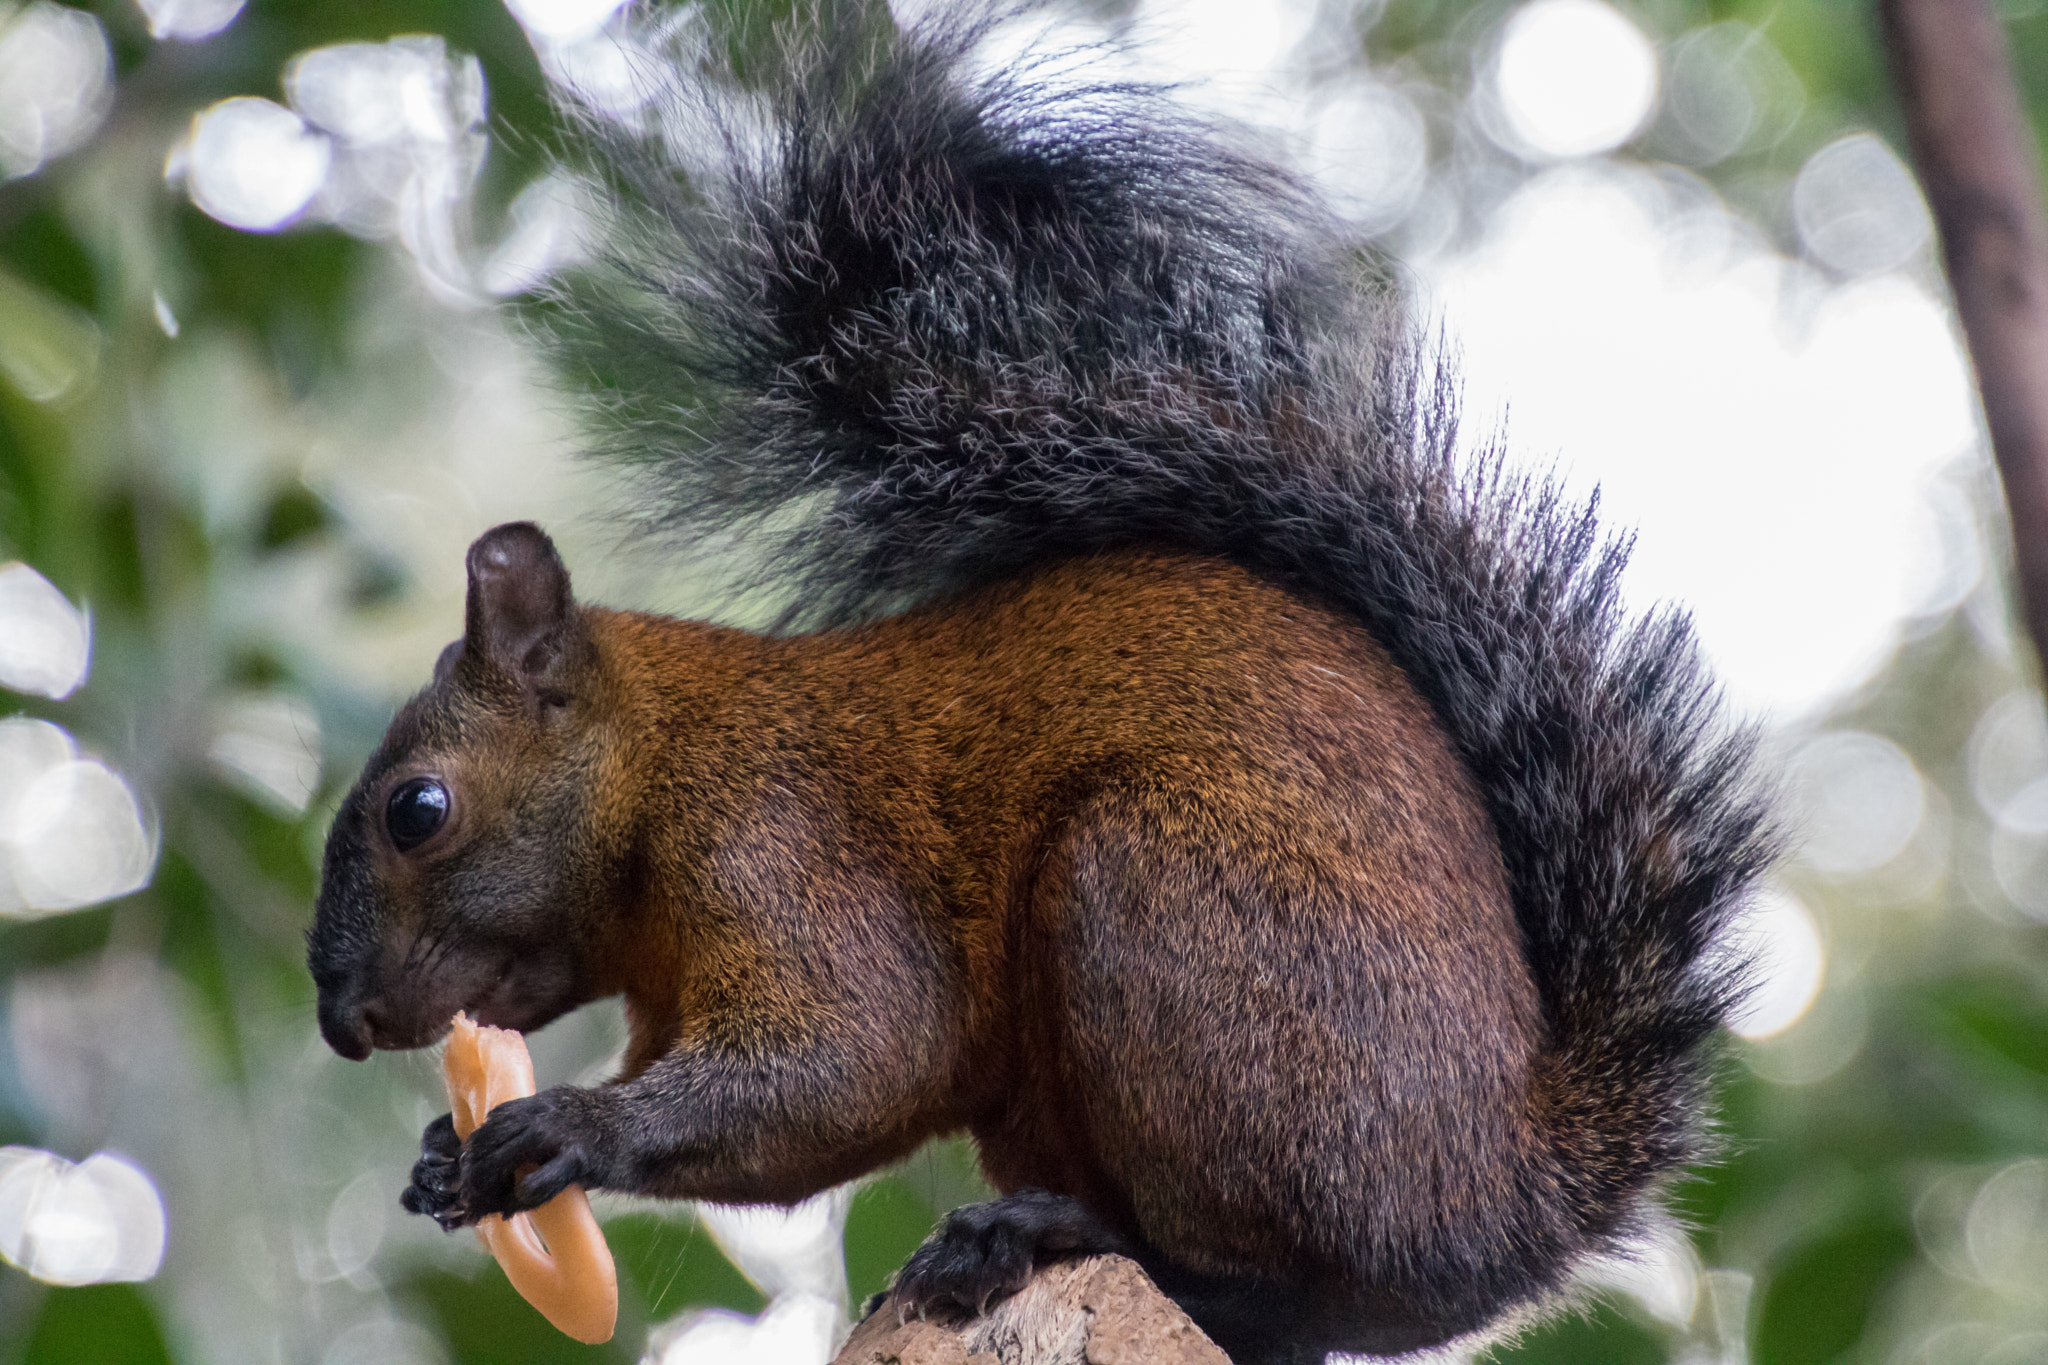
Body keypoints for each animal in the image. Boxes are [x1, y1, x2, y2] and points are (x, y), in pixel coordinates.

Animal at [299, 10, 1777, 1365]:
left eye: (418, 809)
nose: (341, 1021)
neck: (666, 757)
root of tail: (1517, 1194)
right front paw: (440, 1156)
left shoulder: (784, 844)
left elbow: (856, 1054)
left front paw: (566, 1127)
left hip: (1176, 915)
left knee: (1279, 1282)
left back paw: (1056, 1235)